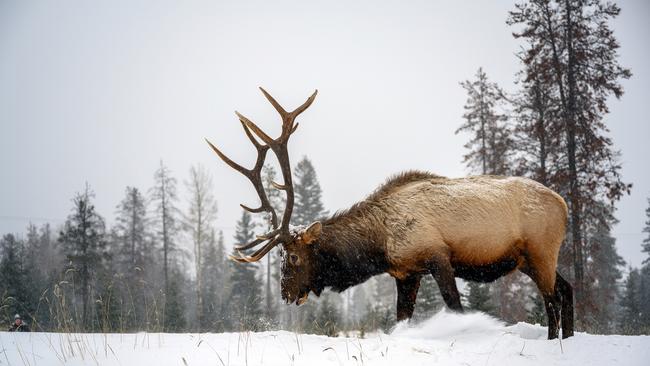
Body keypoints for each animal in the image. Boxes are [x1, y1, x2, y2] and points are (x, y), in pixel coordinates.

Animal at [206, 87, 572, 338]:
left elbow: (455, 307)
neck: (377, 245)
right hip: (531, 259)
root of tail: (564, 204)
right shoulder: (406, 272)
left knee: (552, 299)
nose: (285, 293)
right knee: (566, 290)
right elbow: (401, 318)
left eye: (293, 257)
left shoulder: (438, 256)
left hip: (540, 250)